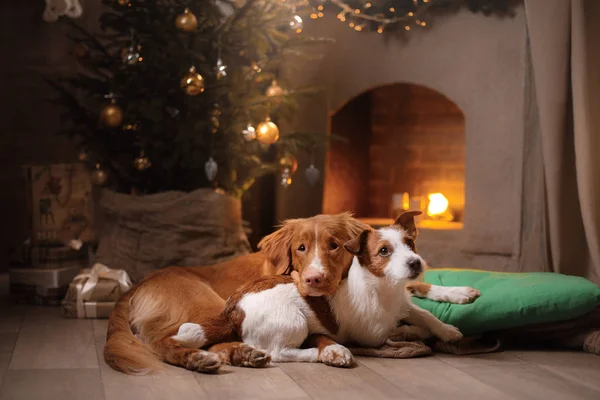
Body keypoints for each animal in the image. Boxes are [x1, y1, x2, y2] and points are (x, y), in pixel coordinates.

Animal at [173, 212, 474, 368]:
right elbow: (404, 330)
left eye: (411, 244)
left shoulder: (405, 303)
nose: (415, 263)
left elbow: (425, 314)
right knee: (280, 352)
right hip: (294, 323)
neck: (387, 291)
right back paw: (324, 352)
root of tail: (232, 310)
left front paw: (447, 330)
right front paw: (417, 332)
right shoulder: (375, 337)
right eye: (383, 251)